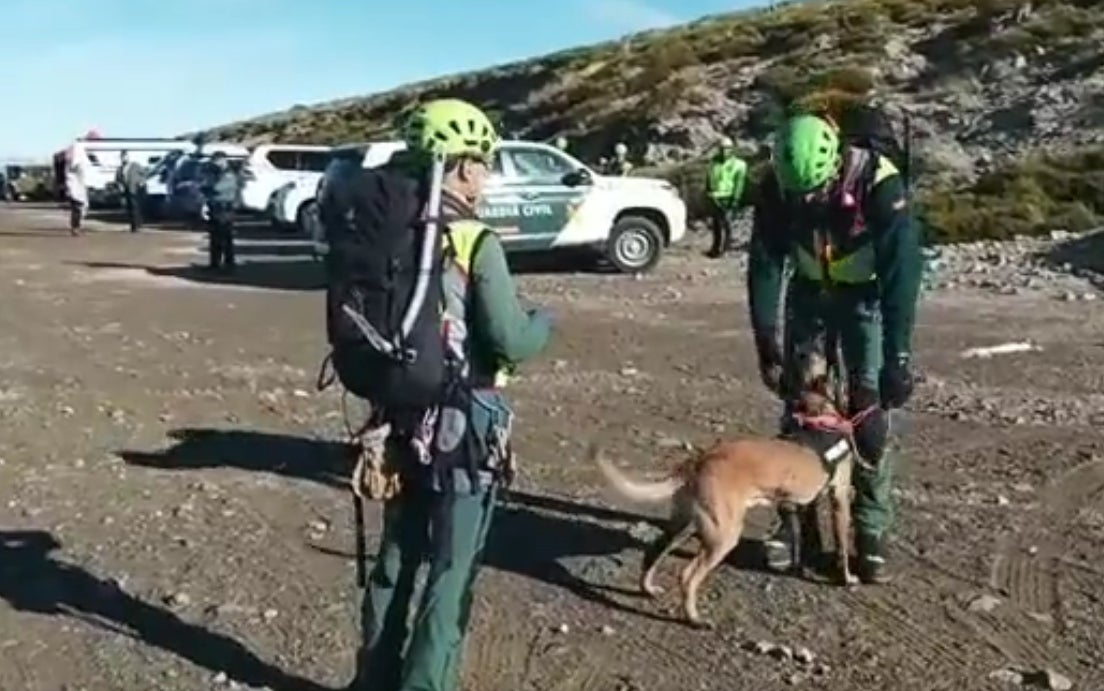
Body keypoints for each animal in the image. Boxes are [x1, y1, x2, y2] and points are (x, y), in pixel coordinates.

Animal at [591, 368, 856, 626]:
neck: (817, 416)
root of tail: (698, 462)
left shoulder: (794, 506)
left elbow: (799, 537)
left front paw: (797, 566)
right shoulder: (839, 499)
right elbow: (842, 547)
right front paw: (846, 578)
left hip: (684, 525)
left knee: (653, 551)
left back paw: (648, 589)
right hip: (723, 536)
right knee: (687, 576)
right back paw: (694, 618)